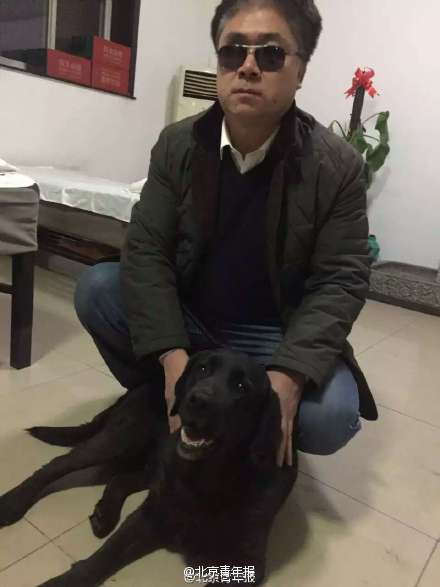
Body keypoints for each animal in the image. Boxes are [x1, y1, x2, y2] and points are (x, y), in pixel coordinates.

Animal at [0, 349, 298, 586]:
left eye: (241, 386)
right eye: (202, 368)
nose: (197, 399)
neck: (207, 476)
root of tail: (144, 384)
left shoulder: (248, 561)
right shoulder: (148, 516)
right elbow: (101, 558)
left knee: (120, 478)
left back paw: (105, 514)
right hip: (121, 440)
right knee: (57, 465)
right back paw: (12, 503)